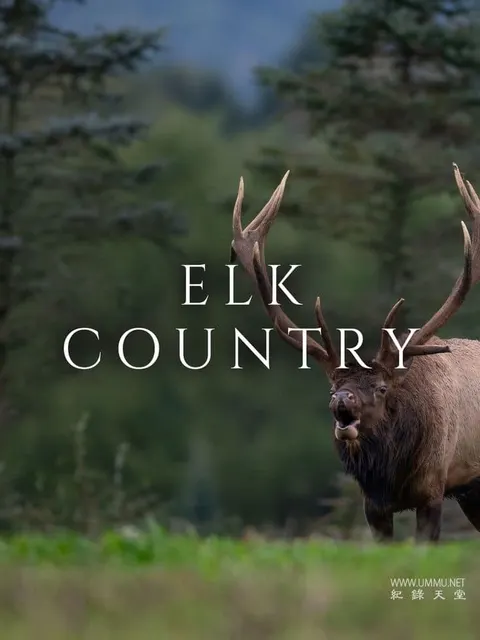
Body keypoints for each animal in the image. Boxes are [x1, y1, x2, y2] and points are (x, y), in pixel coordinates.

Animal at [229, 163, 480, 543]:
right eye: (333, 387)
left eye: (381, 387)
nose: (342, 400)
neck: (391, 476)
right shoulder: (373, 505)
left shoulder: (433, 487)